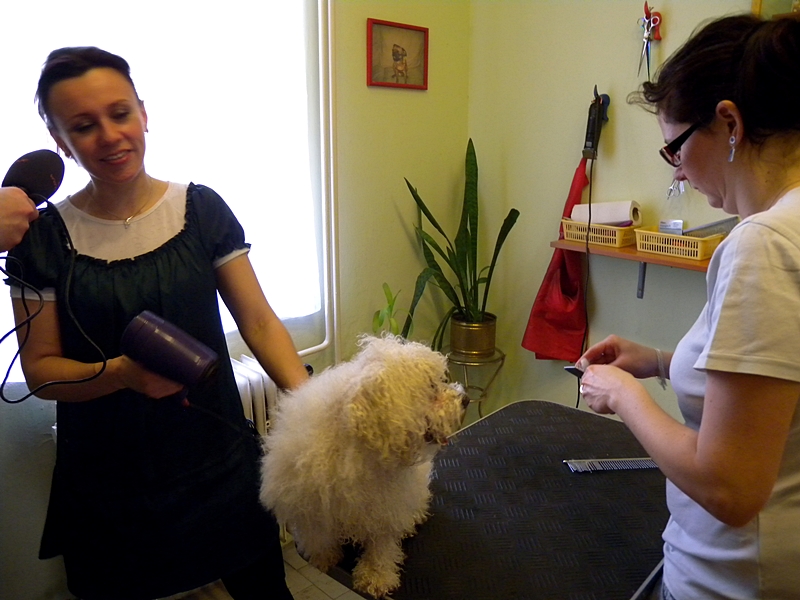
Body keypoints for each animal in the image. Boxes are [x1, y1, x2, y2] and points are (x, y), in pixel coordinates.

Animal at [260, 335, 468, 598]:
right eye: (431, 387)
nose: (466, 400)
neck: (354, 450)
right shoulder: (310, 506)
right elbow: (318, 535)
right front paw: (323, 556)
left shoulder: (384, 510)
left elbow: (381, 547)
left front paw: (376, 577)